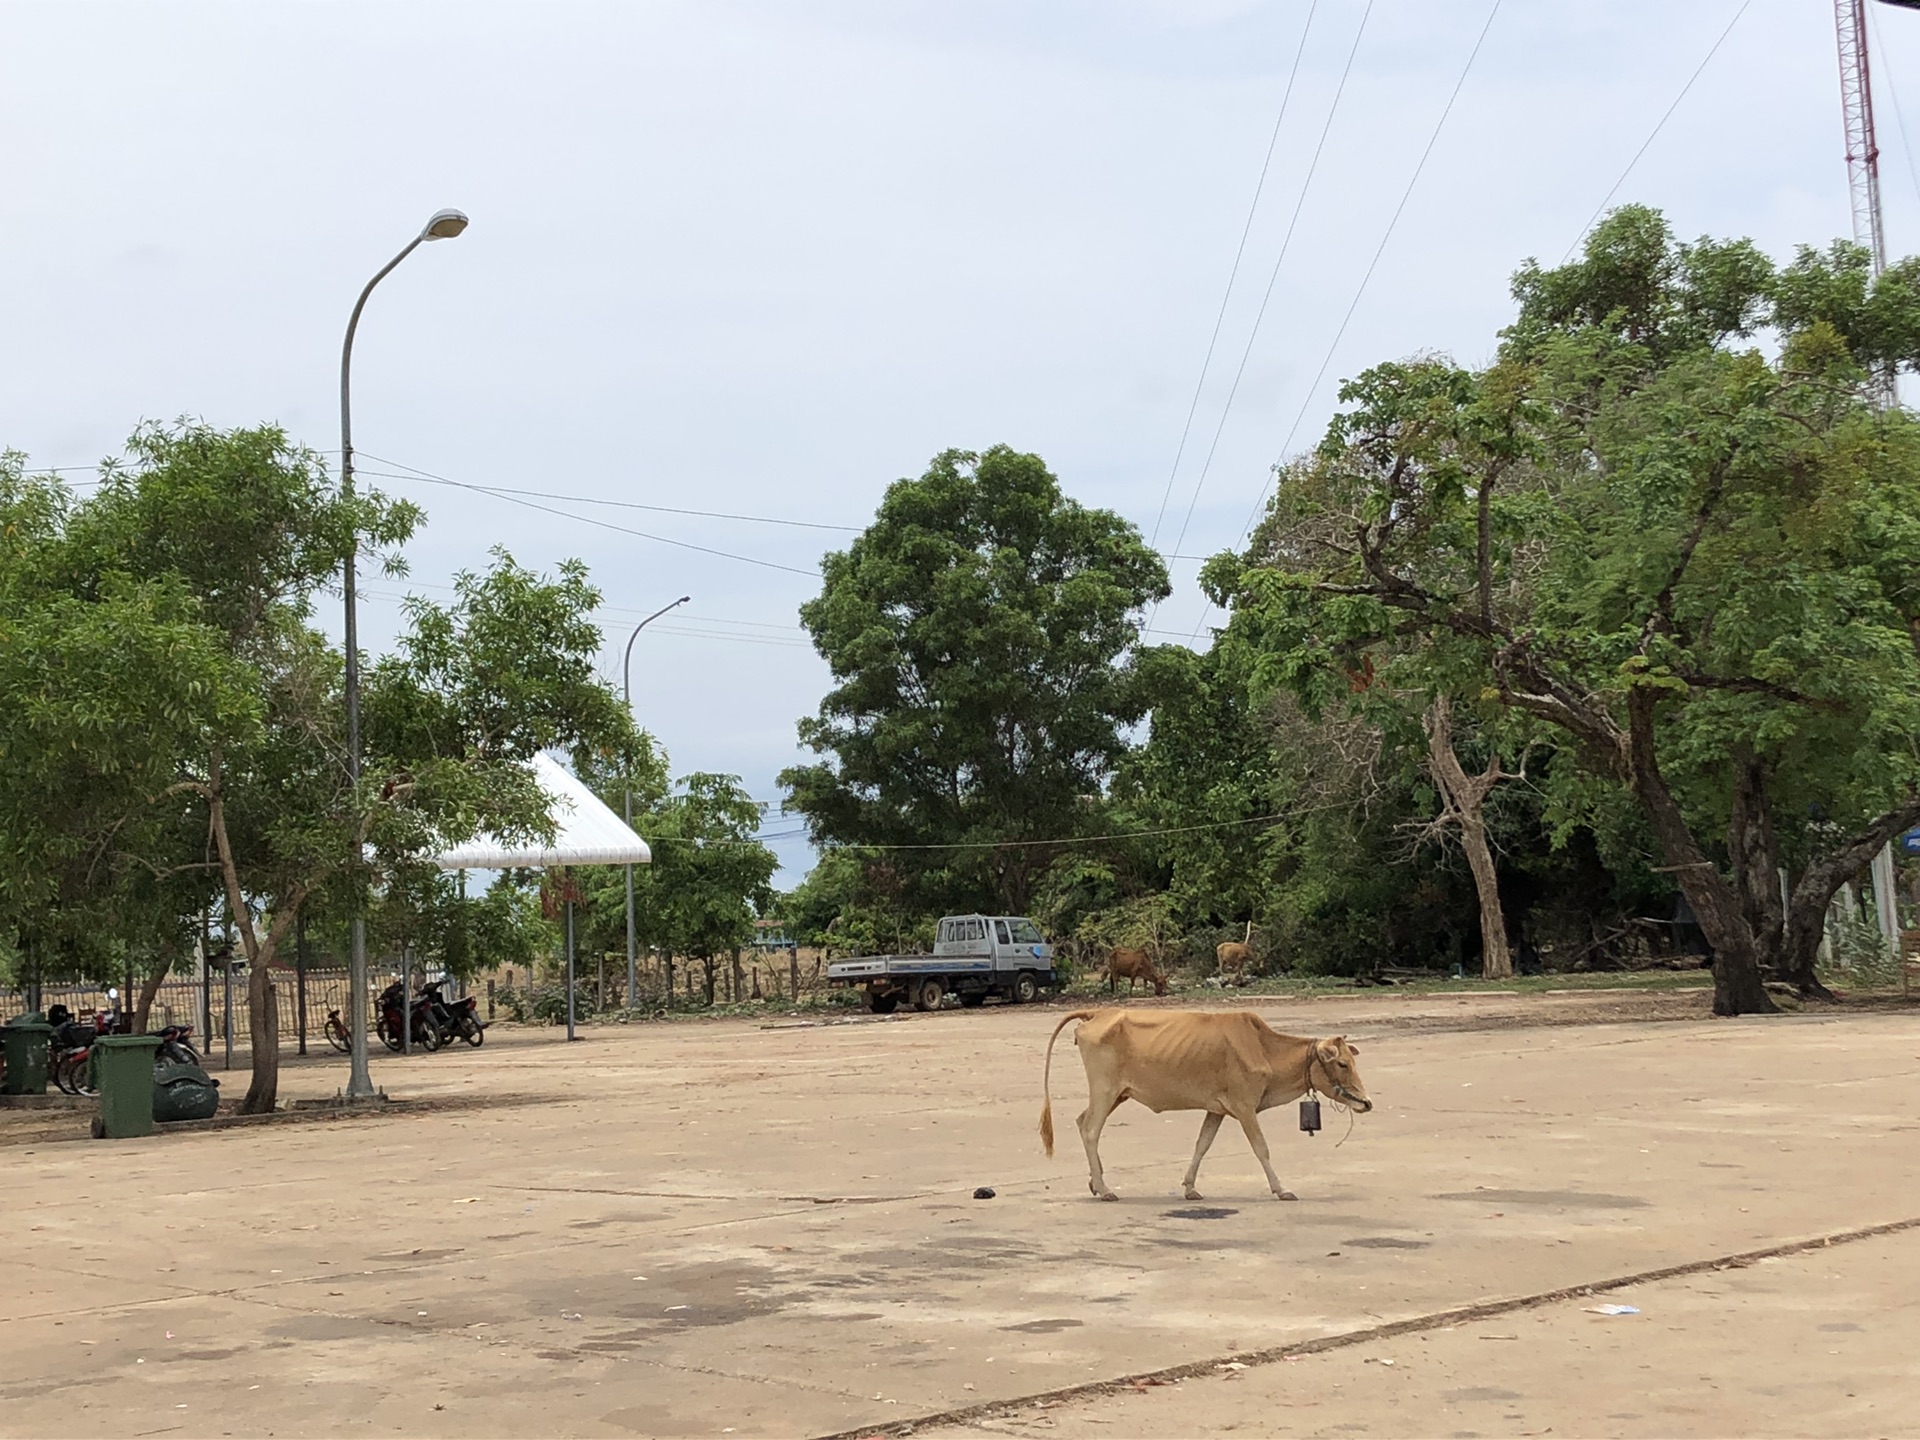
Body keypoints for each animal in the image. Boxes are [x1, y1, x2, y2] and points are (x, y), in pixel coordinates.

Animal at [1044, 1013, 1374, 1205]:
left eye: (1352, 1061)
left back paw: (1094, 1181)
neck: (1263, 1047)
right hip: (1105, 1090)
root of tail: (1096, 1014)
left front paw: (1190, 1187)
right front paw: (1281, 1189)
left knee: (1081, 1121)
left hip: (1117, 1095)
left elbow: (1202, 1145)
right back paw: (1104, 1188)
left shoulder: (1217, 1110)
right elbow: (1261, 1149)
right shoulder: (1244, 1107)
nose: (1366, 1102)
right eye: (1342, 1064)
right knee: (1090, 1129)